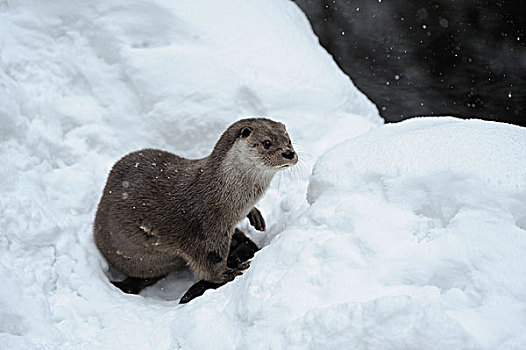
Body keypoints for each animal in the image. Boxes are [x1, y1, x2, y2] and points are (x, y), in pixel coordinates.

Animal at [93, 117, 300, 298]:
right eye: (267, 142)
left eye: (289, 140)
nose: (289, 153)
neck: (221, 192)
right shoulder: (205, 231)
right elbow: (208, 263)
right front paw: (229, 273)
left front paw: (254, 214)